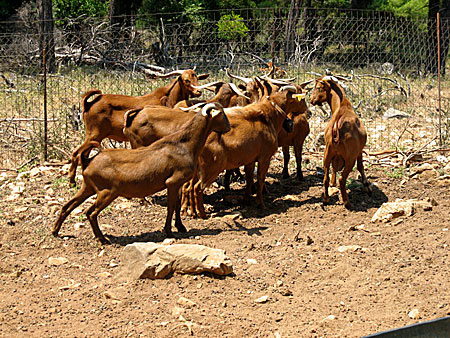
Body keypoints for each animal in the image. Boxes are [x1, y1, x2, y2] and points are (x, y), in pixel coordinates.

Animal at [52, 103, 229, 243]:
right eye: (221, 114)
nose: (228, 127)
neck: (185, 144)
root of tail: (88, 161)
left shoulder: (178, 183)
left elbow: (177, 206)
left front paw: (180, 227)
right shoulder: (172, 182)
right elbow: (171, 207)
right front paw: (169, 231)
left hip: (88, 187)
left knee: (68, 206)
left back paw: (55, 231)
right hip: (107, 192)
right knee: (91, 212)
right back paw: (102, 239)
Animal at [67, 69, 208, 185]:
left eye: (197, 78)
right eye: (186, 80)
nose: (199, 91)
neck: (167, 98)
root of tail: (89, 104)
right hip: (94, 134)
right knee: (76, 153)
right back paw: (72, 181)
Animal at [310, 76, 372, 209]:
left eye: (318, 88)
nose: (311, 100)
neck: (342, 106)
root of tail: (337, 126)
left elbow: (334, 169)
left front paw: (332, 183)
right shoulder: (359, 151)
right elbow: (361, 166)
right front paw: (367, 187)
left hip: (327, 154)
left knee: (325, 179)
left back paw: (326, 199)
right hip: (350, 158)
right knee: (342, 179)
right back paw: (347, 202)